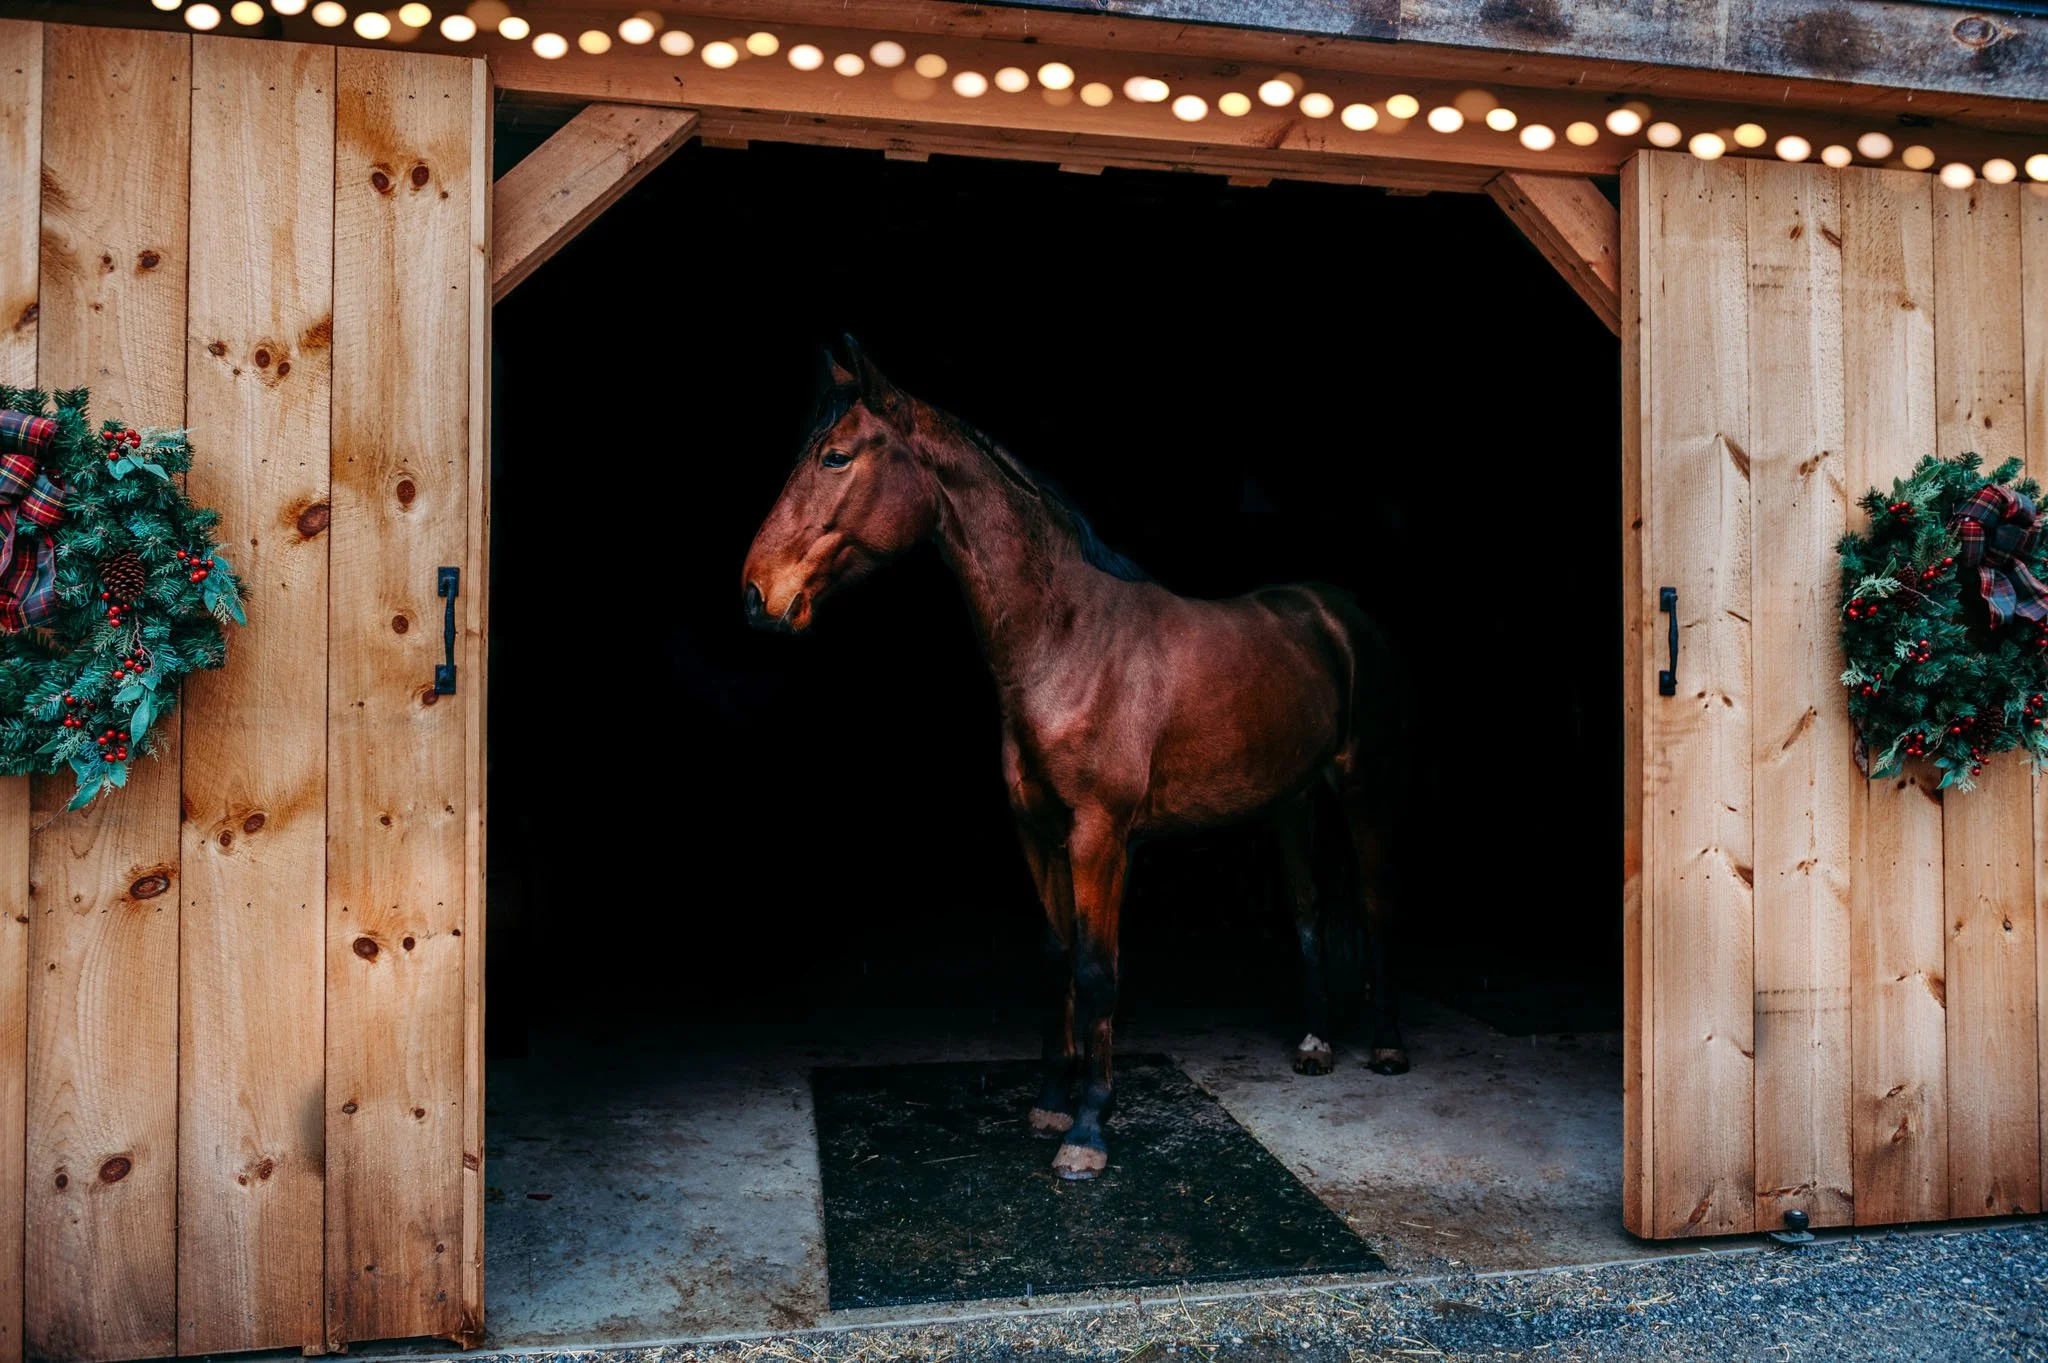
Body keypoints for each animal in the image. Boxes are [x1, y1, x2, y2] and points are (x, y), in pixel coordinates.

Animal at [741, 337, 1408, 1181]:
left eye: (835, 455)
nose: (756, 593)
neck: (1068, 642)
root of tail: (1334, 610)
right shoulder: (1039, 831)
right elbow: (1059, 956)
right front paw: (1054, 1100)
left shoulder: (1099, 836)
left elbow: (1097, 969)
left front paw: (1089, 1128)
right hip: (1288, 801)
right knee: (1308, 906)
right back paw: (1316, 1043)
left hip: (1363, 784)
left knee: (1379, 899)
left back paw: (1386, 1046)